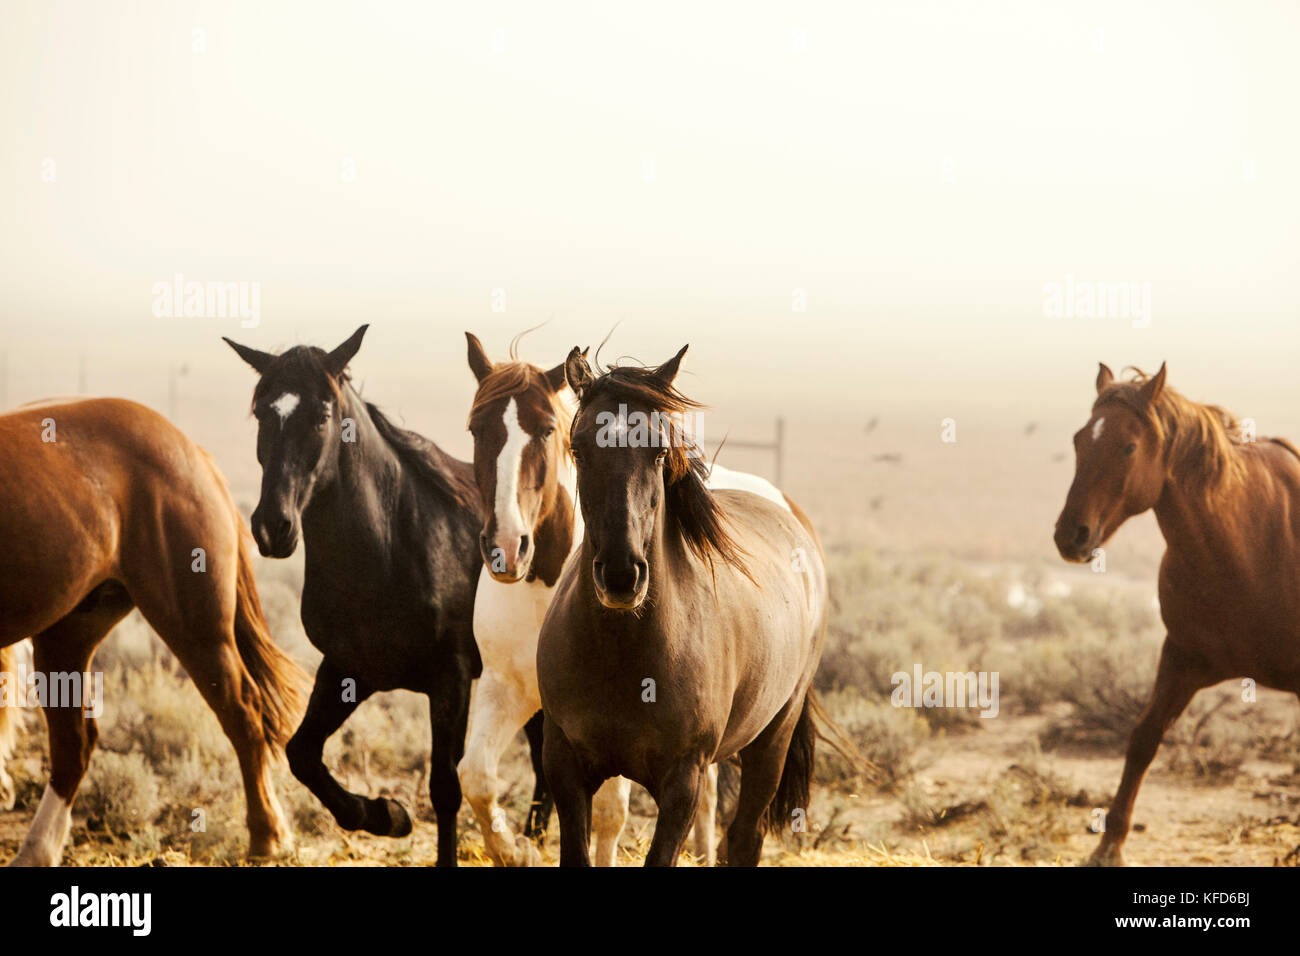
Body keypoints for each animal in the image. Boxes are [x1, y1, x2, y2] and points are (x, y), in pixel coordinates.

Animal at [0, 395, 301, 868]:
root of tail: (195, 453)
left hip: (196, 628)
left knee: (243, 714)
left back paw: (267, 836)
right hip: (66, 635)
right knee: (74, 743)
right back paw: (36, 852)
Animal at [224, 325, 548, 863]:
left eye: (322, 416)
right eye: (261, 412)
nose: (273, 527)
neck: (391, 546)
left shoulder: (450, 678)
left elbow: (445, 787)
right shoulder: (348, 668)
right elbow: (300, 753)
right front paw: (384, 815)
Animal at [540, 345, 826, 868]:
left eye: (657, 451)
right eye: (579, 449)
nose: (621, 576)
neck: (623, 655)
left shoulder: (682, 783)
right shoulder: (564, 766)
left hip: (772, 737)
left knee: (746, 833)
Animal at [1050, 361, 1300, 868]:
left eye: (1129, 445)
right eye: (1079, 440)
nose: (1071, 536)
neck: (1248, 547)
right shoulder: (1183, 659)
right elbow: (1143, 738)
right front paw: (1108, 845)